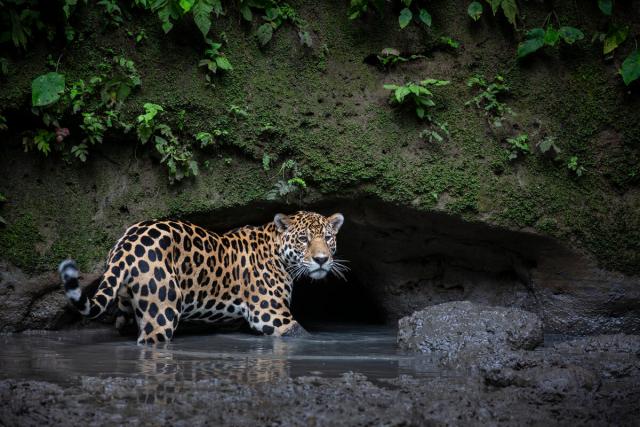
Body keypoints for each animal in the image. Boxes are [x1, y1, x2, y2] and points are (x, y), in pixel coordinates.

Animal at [58, 211, 347, 344]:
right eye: (303, 239)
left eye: (328, 238)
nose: (322, 259)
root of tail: (128, 241)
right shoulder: (273, 317)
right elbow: (303, 335)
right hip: (162, 312)